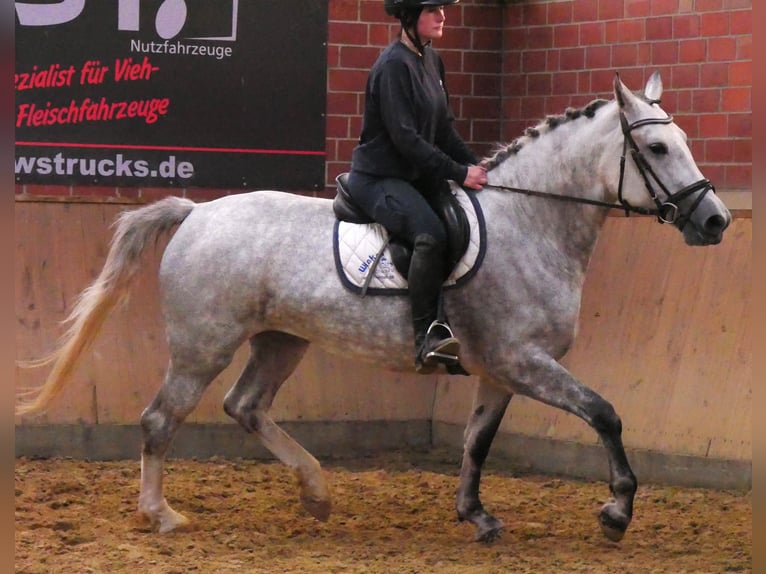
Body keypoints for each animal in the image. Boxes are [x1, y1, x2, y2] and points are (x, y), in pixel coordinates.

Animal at [16, 72, 731, 543]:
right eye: (658, 149)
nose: (716, 221)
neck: (533, 220)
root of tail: (196, 211)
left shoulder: (501, 371)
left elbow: (477, 440)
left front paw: (475, 515)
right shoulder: (522, 362)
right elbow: (604, 413)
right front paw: (617, 512)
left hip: (281, 339)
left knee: (246, 406)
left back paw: (317, 492)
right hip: (202, 345)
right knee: (161, 419)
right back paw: (160, 515)